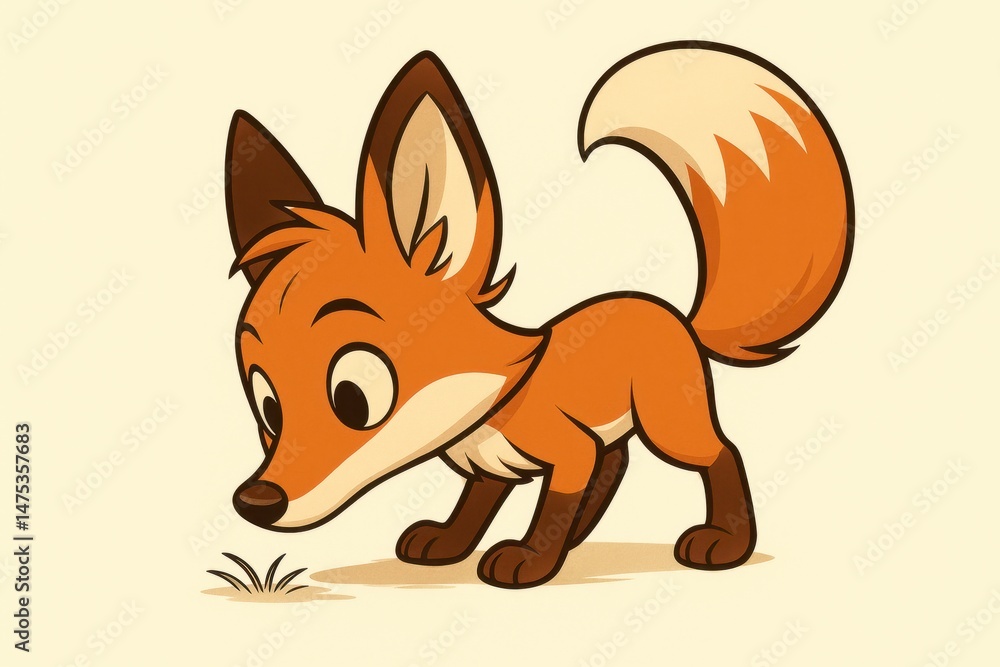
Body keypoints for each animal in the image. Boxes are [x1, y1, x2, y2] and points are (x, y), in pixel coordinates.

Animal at [224, 41, 852, 589]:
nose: (256, 501)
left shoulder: (568, 450)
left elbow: (554, 501)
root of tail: (671, 311)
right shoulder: (489, 468)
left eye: (353, 398)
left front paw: (530, 559)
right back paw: (583, 538)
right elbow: (476, 510)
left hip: (670, 425)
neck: (492, 402)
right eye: (269, 408)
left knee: (719, 453)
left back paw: (724, 541)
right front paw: (452, 544)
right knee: (617, 464)